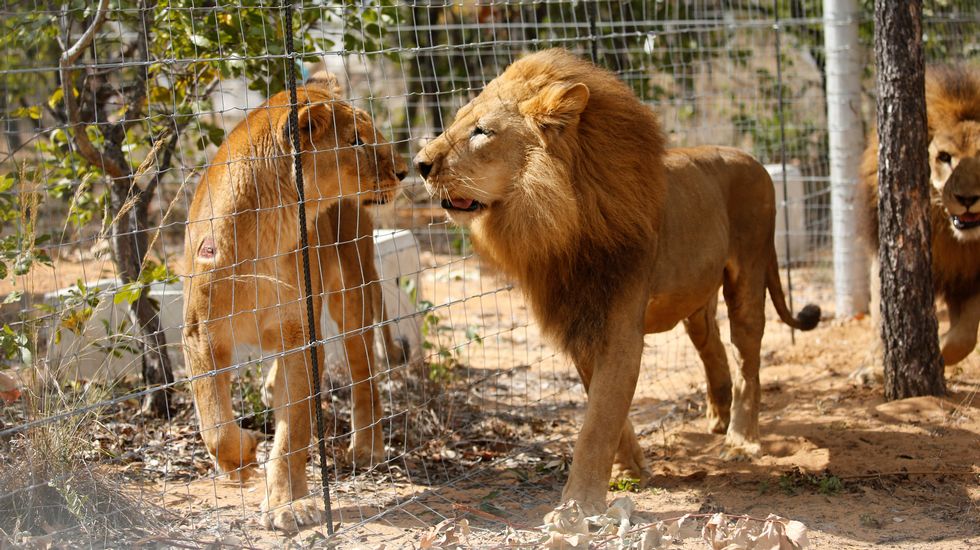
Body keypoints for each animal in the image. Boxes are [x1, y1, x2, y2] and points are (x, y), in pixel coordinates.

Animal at [183, 72, 406, 532]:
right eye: (356, 141)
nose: (404, 171)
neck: (272, 226)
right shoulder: (200, 335)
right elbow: (215, 422)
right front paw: (242, 458)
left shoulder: (302, 335)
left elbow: (294, 434)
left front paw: (289, 504)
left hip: (352, 292)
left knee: (365, 375)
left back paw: (366, 448)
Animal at [414, 48, 820, 516]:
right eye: (457, 121)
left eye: (482, 132)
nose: (419, 165)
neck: (558, 223)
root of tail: (753, 160)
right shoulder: (580, 321)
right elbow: (605, 409)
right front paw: (629, 472)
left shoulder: (619, 327)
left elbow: (598, 420)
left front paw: (580, 503)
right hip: (696, 295)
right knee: (712, 344)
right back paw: (718, 417)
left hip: (749, 273)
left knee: (747, 360)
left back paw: (740, 439)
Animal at [864, 66, 980, 370]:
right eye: (944, 157)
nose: (967, 199)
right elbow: (881, 319)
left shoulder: (970, 276)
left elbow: (965, 336)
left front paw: (939, 350)